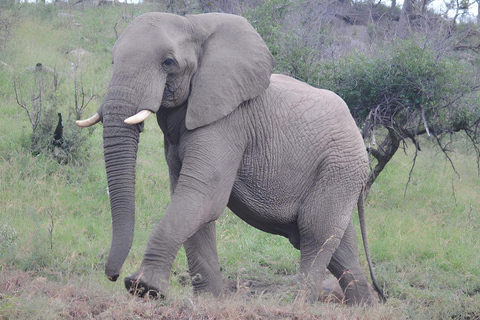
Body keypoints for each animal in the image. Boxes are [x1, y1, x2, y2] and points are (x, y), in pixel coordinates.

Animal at [79, 11, 386, 304]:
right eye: (113, 60)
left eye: (168, 62)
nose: (113, 275)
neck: (195, 25)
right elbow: (190, 201)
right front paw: (209, 300)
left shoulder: (229, 122)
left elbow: (202, 196)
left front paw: (144, 289)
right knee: (339, 247)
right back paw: (363, 307)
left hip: (339, 166)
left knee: (316, 233)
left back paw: (298, 305)